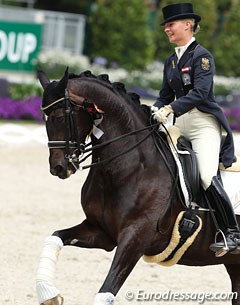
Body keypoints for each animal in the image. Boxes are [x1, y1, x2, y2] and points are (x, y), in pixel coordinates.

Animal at [37, 69, 240, 304]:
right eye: (44, 119)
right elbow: (54, 237)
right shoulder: (101, 232)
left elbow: (105, 292)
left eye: (60, 117)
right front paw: (50, 295)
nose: (58, 167)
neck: (131, 167)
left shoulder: (135, 238)